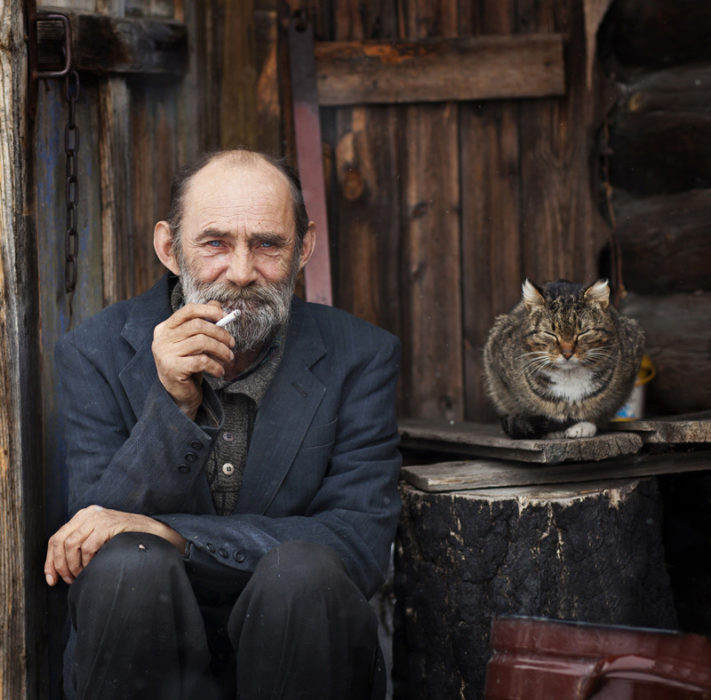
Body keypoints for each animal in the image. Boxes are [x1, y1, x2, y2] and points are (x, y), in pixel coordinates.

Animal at [484, 278, 644, 438]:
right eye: (550, 333)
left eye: (583, 332)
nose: (567, 353)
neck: (569, 377)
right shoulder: (499, 369)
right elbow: (523, 405)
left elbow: (600, 410)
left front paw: (584, 425)